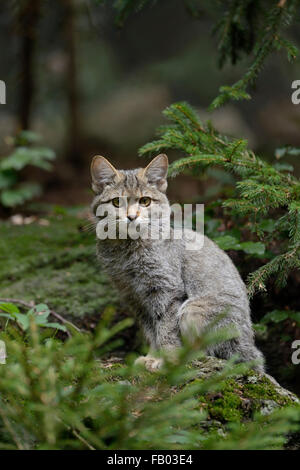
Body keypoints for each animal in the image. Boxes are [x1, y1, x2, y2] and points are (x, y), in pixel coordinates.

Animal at [90, 153, 264, 370]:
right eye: (116, 202)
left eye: (145, 201)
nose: (131, 217)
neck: (126, 250)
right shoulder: (135, 297)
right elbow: (152, 331)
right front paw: (152, 356)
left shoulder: (166, 290)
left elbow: (166, 329)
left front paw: (167, 360)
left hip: (193, 309)